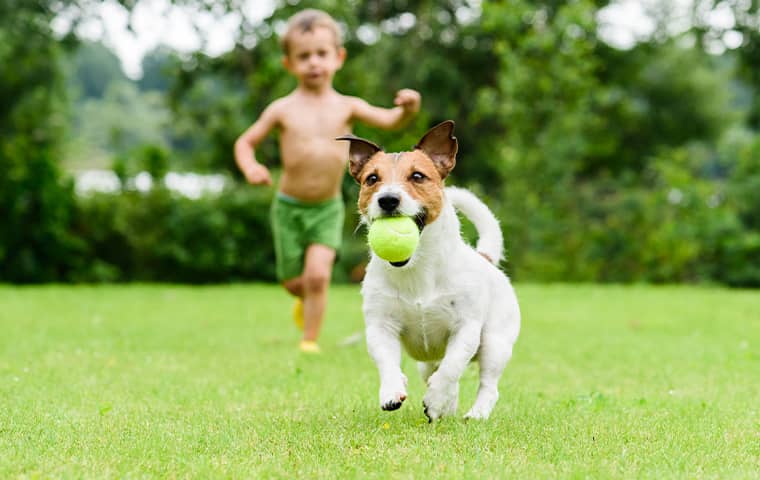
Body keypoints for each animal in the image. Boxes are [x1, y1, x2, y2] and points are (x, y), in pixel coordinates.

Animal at [340, 120, 524, 420]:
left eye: (417, 176)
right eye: (372, 179)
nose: (388, 199)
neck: (417, 268)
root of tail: (485, 258)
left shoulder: (466, 329)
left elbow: (451, 367)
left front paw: (436, 398)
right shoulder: (381, 326)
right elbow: (387, 362)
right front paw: (392, 392)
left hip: (495, 343)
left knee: (486, 384)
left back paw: (474, 413)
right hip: (427, 361)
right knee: (438, 373)